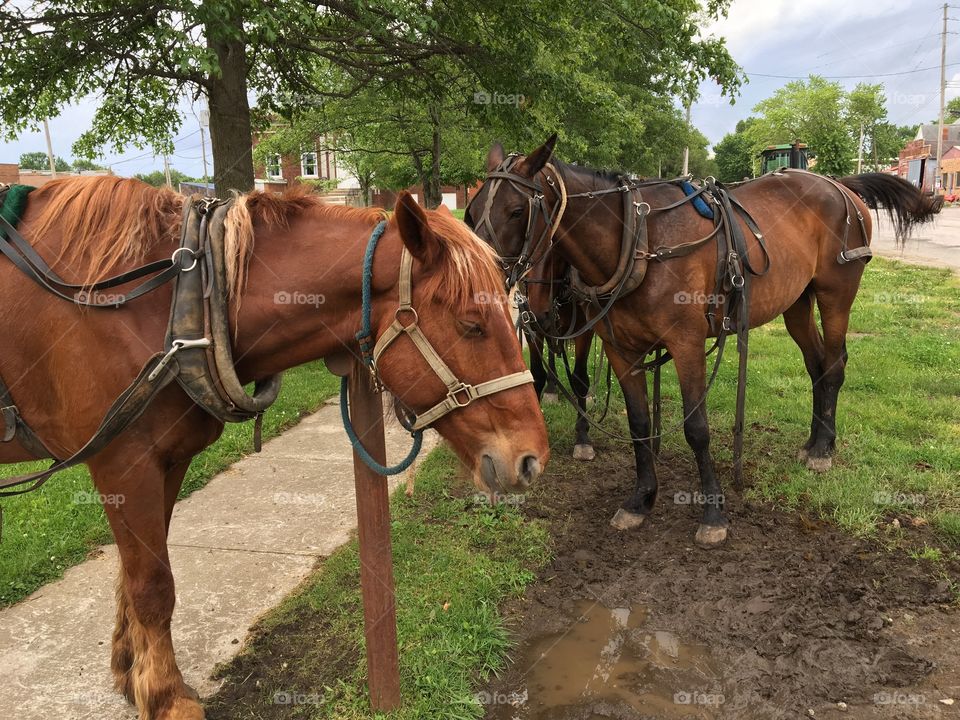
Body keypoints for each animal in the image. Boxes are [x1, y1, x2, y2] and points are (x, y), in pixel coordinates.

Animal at [0, 177, 549, 720]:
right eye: (472, 323)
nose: (532, 458)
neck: (181, 303)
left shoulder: (165, 463)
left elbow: (132, 574)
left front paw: (130, 672)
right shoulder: (123, 463)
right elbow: (152, 585)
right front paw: (166, 697)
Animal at [468, 135, 940, 549]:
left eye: (516, 211)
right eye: (471, 211)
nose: (482, 280)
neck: (637, 242)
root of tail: (840, 185)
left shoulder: (687, 344)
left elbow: (697, 429)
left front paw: (714, 513)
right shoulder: (622, 350)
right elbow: (639, 424)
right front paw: (641, 500)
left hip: (836, 292)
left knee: (836, 363)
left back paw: (824, 449)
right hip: (797, 303)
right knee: (817, 364)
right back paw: (814, 442)